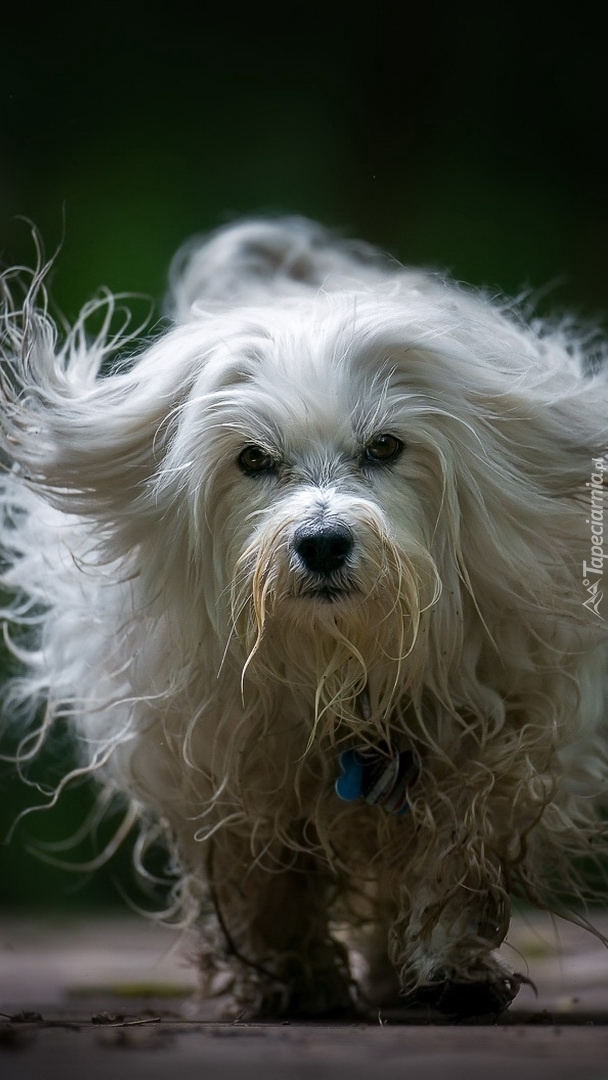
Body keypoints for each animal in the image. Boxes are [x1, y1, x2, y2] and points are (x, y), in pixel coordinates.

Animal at [1, 214, 608, 1015]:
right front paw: (285, 979)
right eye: (253, 459)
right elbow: (263, 878)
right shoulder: (229, 760)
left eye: (385, 446)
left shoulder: (499, 724)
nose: (322, 542)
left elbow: (459, 841)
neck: (344, 666)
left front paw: (449, 966)